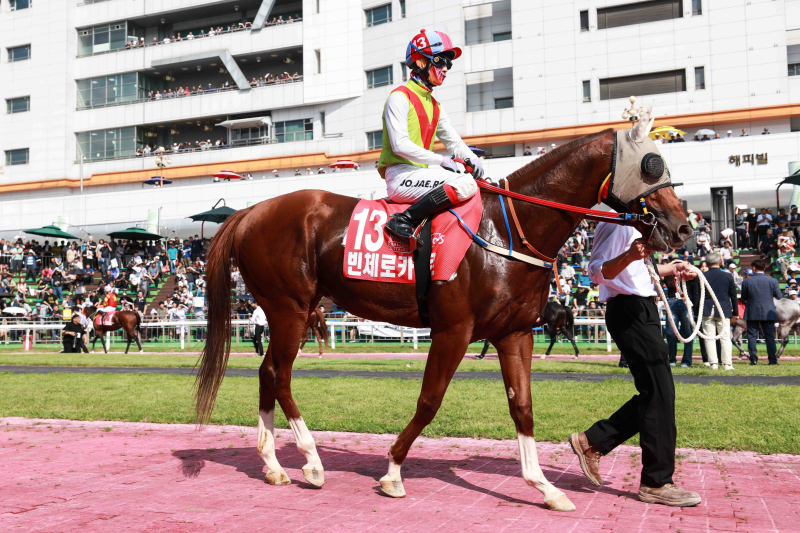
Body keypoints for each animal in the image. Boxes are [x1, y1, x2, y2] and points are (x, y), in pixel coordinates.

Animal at [195, 105, 692, 512]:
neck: (509, 230)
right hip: (290, 309)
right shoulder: (454, 330)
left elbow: (523, 406)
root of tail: (251, 211)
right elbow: (430, 400)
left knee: (267, 372)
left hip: (289, 312)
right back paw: (312, 461)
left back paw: (273, 464)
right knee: (280, 375)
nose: (682, 227)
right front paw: (393, 471)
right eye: (651, 166)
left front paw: (544, 487)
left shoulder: (515, 333)